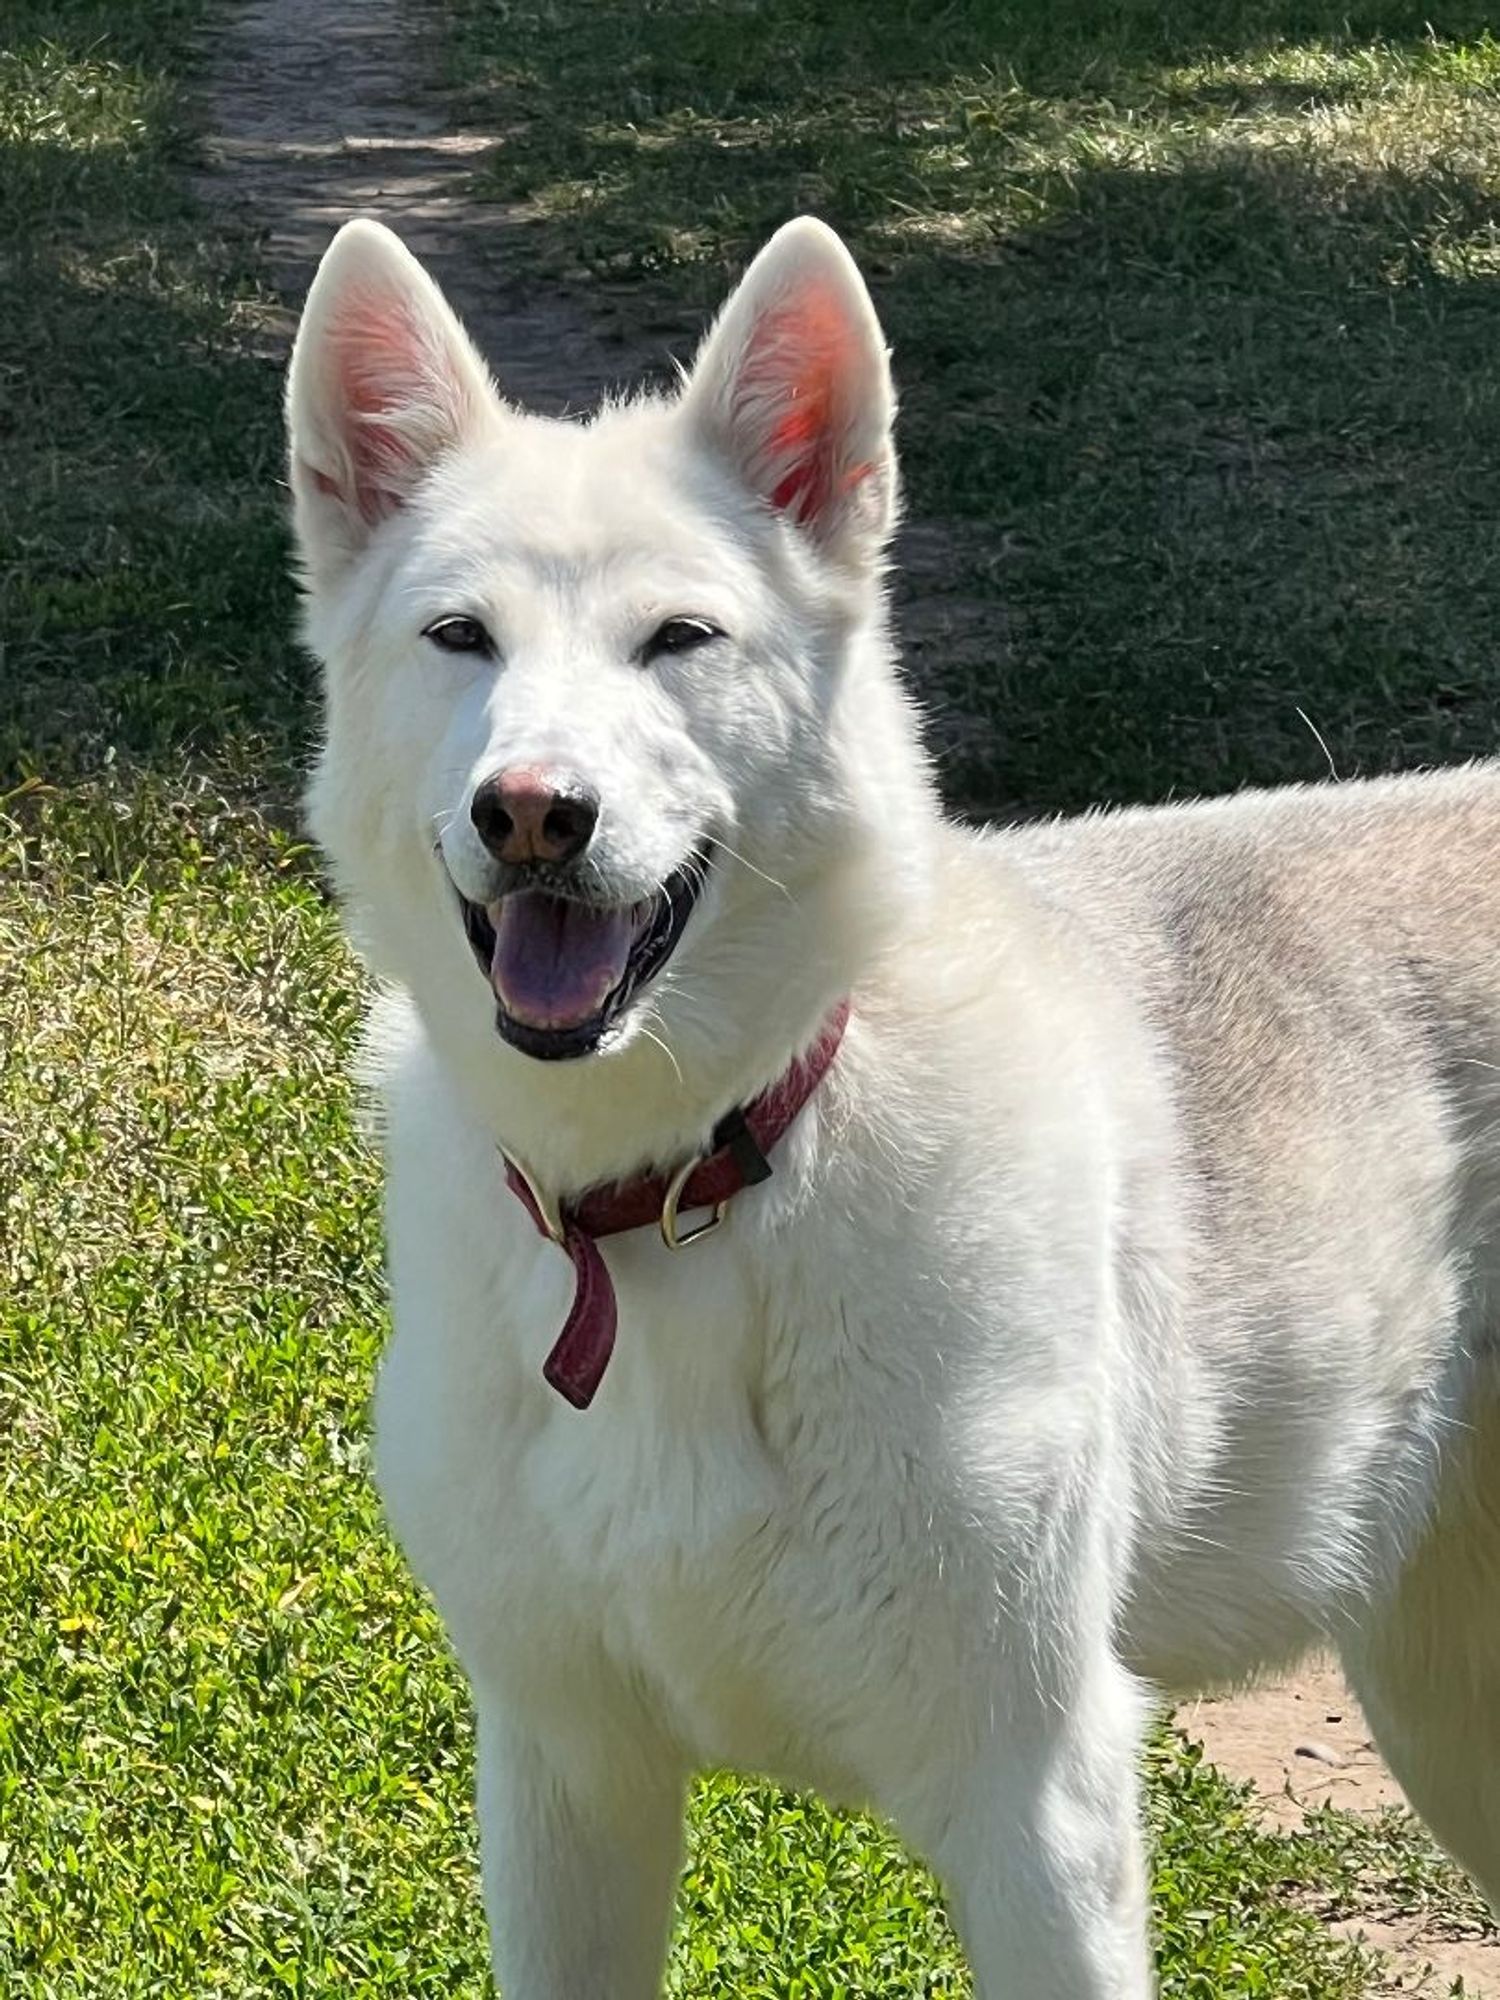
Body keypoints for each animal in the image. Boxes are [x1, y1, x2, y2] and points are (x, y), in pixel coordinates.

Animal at [290, 211, 1500, 1992]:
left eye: (680, 639)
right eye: (461, 639)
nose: (532, 813)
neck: (684, 1186)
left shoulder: (1037, 1810)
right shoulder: (565, 1780)